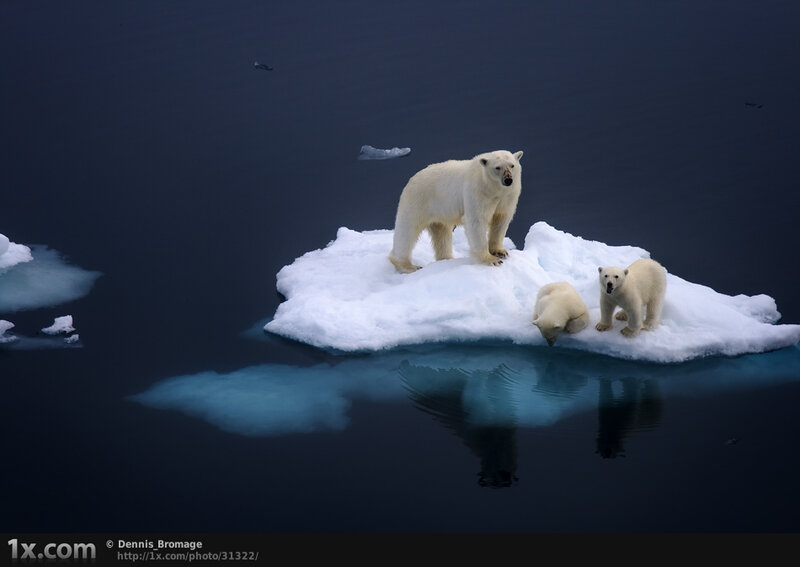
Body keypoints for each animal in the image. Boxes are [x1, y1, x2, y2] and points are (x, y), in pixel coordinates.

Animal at [388, 149, 523, 273]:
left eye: (512, 165)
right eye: (497, 167)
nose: (508, 180)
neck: (493, 189)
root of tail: (412, 179)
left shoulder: (508, 196)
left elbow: (501, 220)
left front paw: (500, 252)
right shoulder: (477, 192)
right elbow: (476, 221)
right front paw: (491, 260)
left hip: (439, 210)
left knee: (442, 234)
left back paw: (446, 258)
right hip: (418, 201)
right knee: (407, 230)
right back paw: (408, 266)